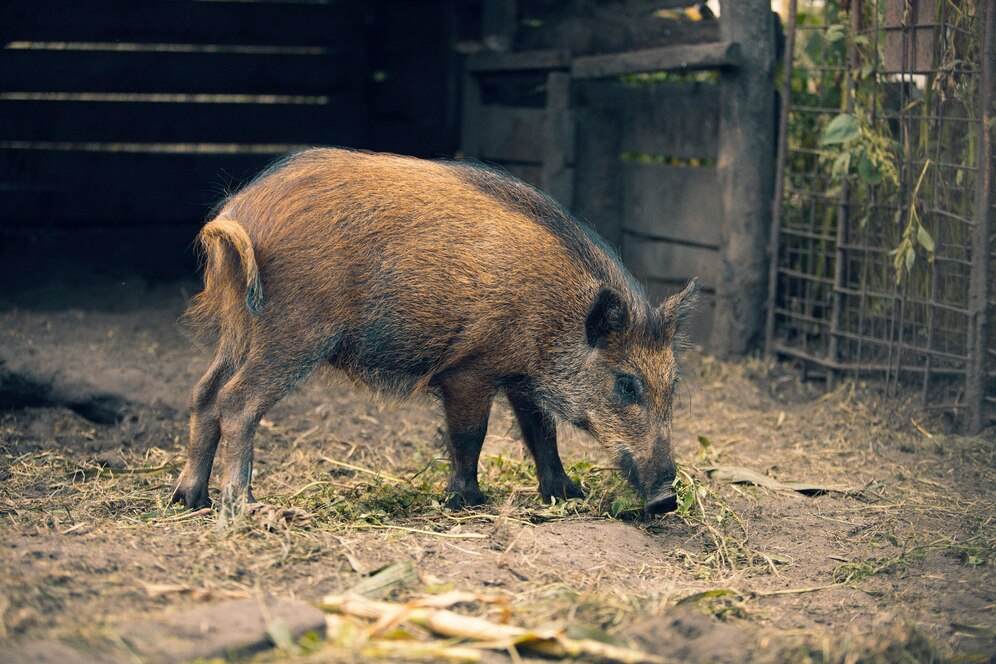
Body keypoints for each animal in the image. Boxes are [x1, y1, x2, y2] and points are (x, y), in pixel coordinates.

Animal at [171, 149, 696, 512]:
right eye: (626, 384)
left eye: (673, 384)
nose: (666, 500)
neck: (554, 317)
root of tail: (237, 214)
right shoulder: (470, 371)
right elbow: (470, 436)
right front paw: (467, 501)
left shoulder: (522, 379)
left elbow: (541, 434)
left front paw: (567, 494)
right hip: (292, 332)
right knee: (237, 401)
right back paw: (242, 504)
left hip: (240, 332)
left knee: (204, 392)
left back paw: (190, 499)